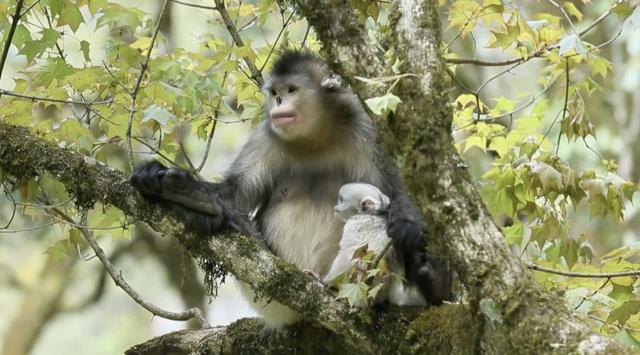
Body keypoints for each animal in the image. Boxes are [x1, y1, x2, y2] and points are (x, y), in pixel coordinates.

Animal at [131, 50, 450, 328]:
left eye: (292, 90)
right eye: (275, 92)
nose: (279, 102)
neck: (314, 139)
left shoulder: (367, 131)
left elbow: (400, 190)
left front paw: (408, 225)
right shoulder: (265, 136)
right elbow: (235, 196)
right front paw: (176, 184)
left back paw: (430, 279)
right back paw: (194, 201)